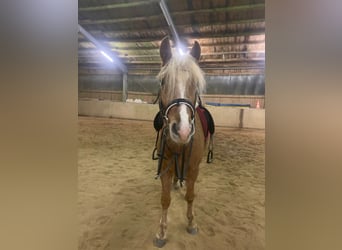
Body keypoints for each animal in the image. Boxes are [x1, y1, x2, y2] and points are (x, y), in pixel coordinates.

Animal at [153, 37, 212, 248]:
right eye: (163, 81)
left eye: (194, 83)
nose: (183, 130)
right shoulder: (165, 167)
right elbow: (165, 199)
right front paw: (162, 232)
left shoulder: (194, 167)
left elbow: (191, 196)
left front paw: (191, 222)